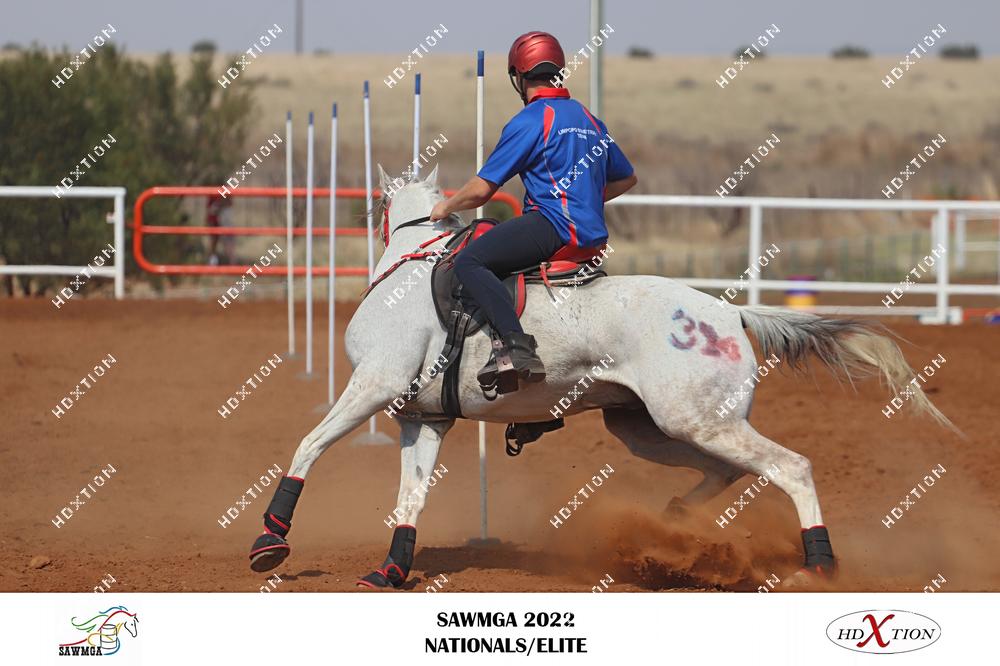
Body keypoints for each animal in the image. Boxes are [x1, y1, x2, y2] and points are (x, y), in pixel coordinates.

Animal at [247, 165, 955, 588]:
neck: (414, 273)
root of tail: (729, 312)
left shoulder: (372, 386)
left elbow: (307, 446)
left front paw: (270, 541)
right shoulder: (424, 418)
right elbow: (410, 497)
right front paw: (391, 570)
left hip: (695, 421)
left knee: (792, 467)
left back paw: (819, 562)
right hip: (648, 427)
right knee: (725, 472)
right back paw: (673, 528)